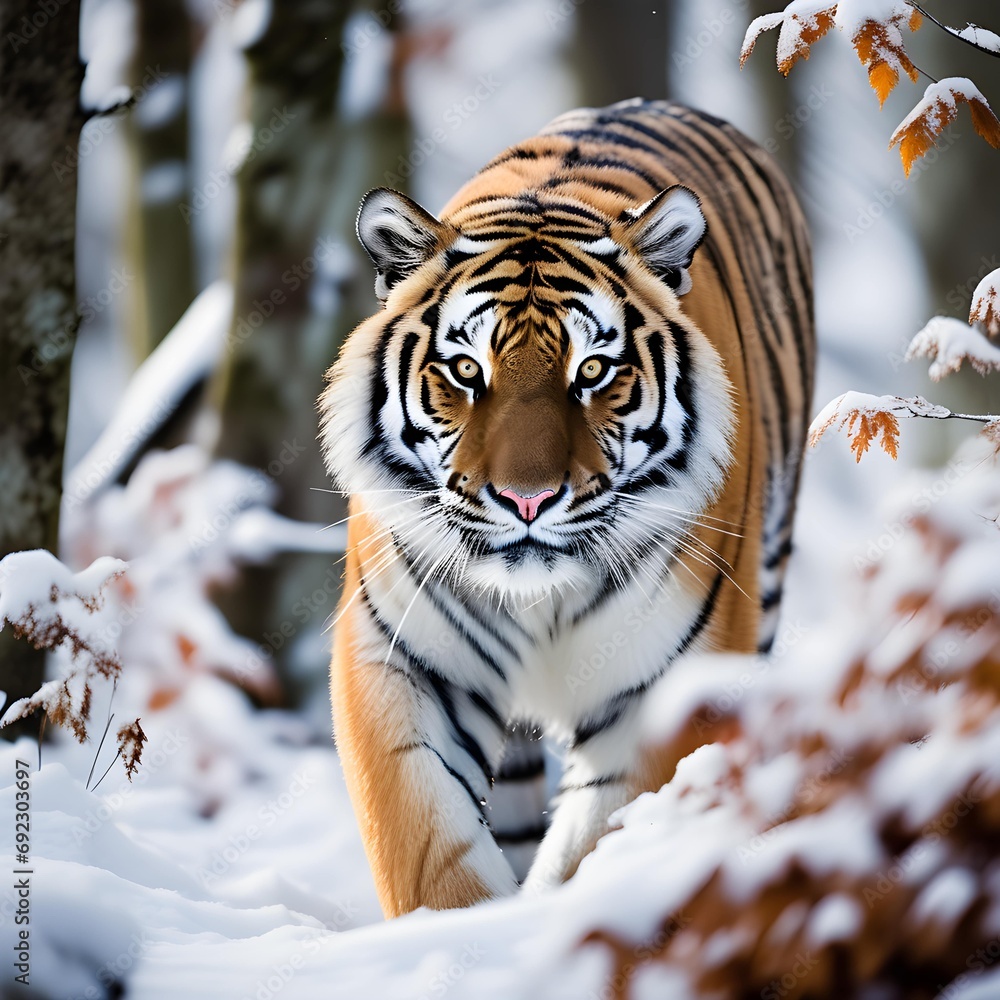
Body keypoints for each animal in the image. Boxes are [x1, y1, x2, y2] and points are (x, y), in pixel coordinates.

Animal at [319, 98, 814, 918]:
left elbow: (602, 845)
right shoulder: (400, 656)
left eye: (593, 372)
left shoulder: (669, 679)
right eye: (466, 370)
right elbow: (428, 855)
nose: (528, 499)